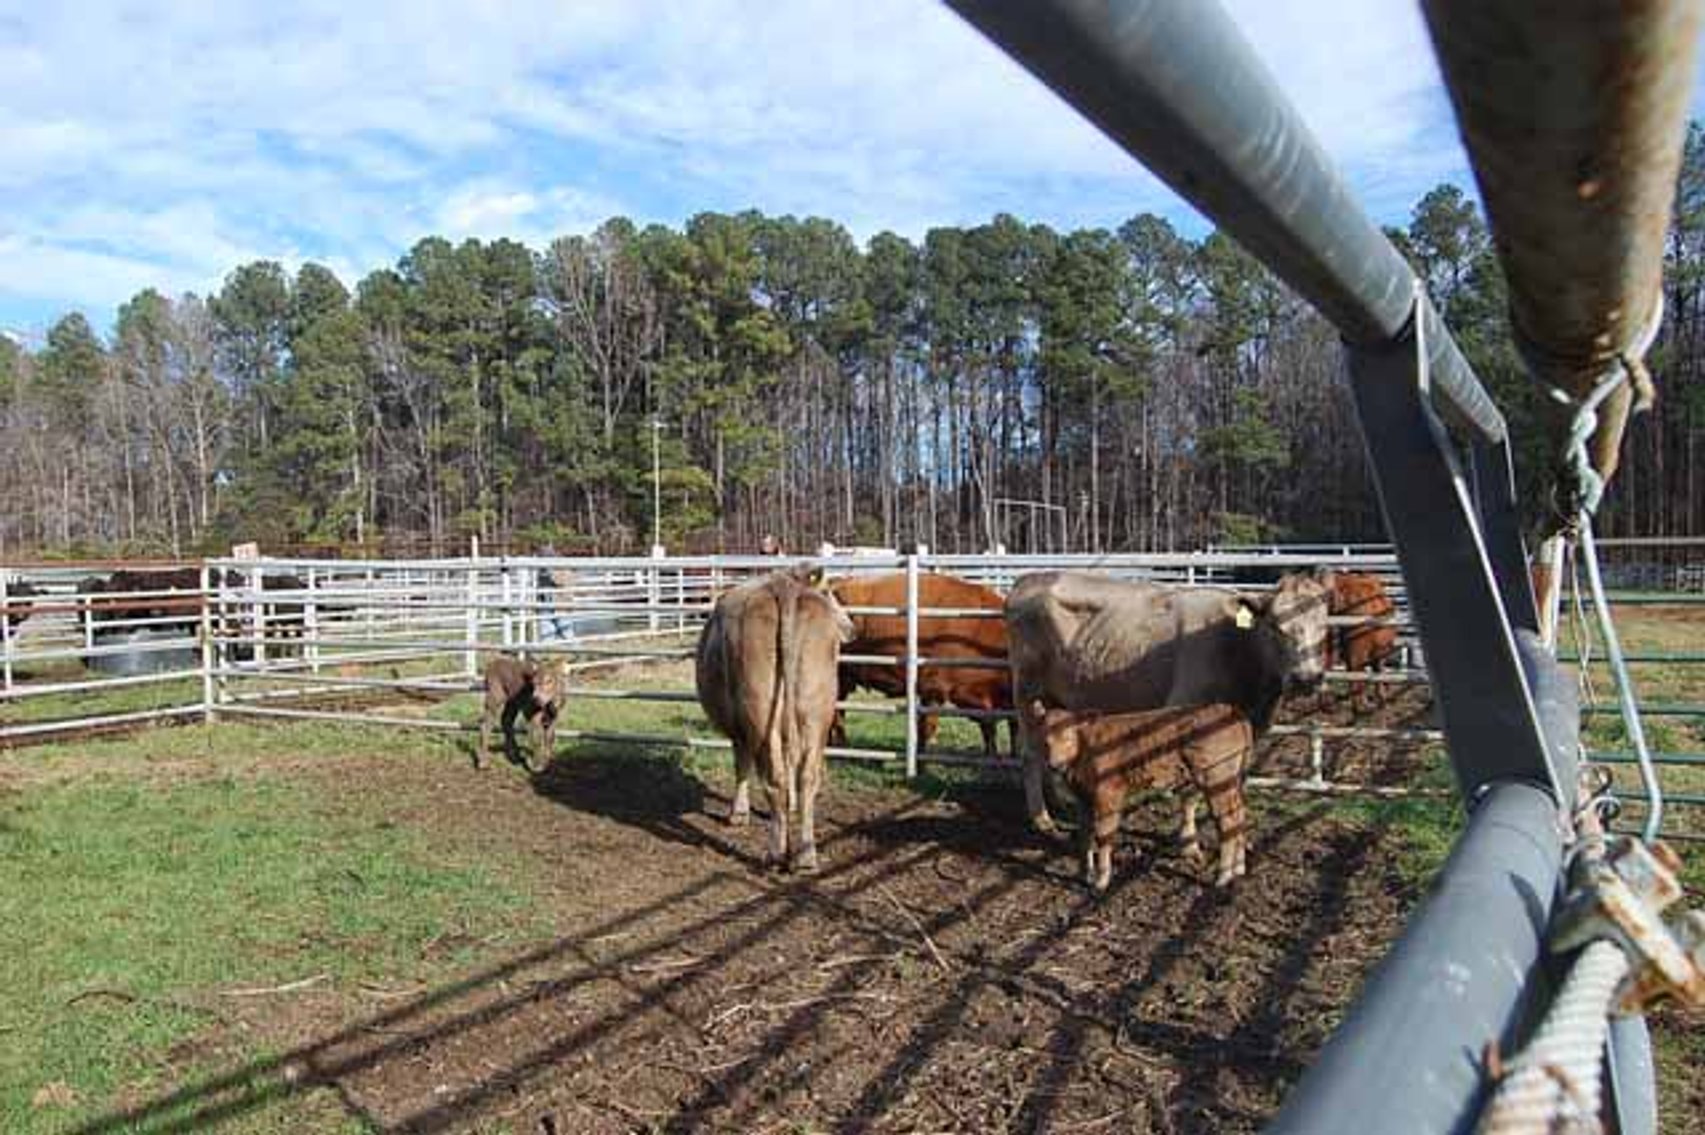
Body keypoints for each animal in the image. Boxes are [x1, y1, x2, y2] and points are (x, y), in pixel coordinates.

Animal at [695, 567, 851, 872]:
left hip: (759, 710)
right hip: (815, 710)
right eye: (828, 591)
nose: (852, 627)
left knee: (774, 778)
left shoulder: (740, 731)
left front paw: (738, 814)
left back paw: (776, 852)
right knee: (807, 776)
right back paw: (805, 854)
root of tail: (784, 587)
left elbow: (741, 766)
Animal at [1005, 568, 1334, 834]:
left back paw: (1057, 803)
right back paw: (1042, 820)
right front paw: (1188, 839)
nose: (1307, 678)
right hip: (1026, 692)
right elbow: (1190, 789)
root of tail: (1029, 579)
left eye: (1324, 623)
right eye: (1276, 626)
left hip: (1053, 700)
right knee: (1029, 754)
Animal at [1025, 701, 1253, 890]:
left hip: (1216, 779)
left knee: (1227, 821)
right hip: (1231, 781)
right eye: (1044, 741)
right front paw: (1084, 874)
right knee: (1239, 815)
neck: (1085, 748)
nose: (1054, 765)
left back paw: (1223, 877)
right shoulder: (1083, 798)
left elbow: (1103, 835)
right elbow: (1085, 835)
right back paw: (1239, 868)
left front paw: (1101, 880)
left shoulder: (1108, 795)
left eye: (1069, 738)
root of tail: (1232, 711)